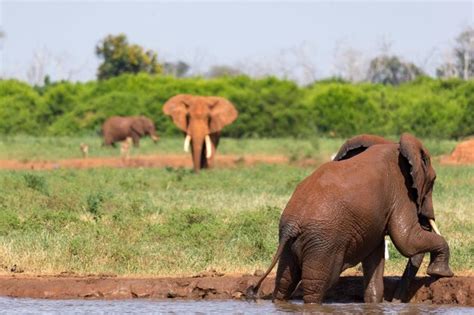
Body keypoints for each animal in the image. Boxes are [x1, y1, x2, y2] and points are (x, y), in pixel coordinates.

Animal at [250, 133, 454, 304]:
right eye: (433, 181)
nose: (396, 302)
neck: (393, 145)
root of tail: (291, 226)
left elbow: (376, 255)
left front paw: (374, 304)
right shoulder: (401, 192)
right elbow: (406, 240)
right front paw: (441, 273)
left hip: (293, 244)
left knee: (285, 281)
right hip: (324, 243)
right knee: (316, 285)